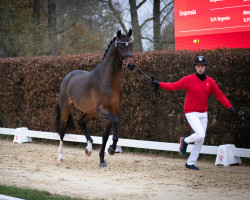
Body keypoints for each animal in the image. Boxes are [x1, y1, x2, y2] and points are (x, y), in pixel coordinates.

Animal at [55, 29, 135, 167]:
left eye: (131, 45)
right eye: (120, 46)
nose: (131, 65)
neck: (107, 80)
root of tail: (68, 76)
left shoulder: (112, 111)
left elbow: (105, 135)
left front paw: (103, 159)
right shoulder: (103, 111)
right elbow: (115, 121)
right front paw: (112, 149)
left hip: (91, 112)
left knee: (81, 122)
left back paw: (89, 149)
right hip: (66, 108)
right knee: (62, 130)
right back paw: (60, 157)